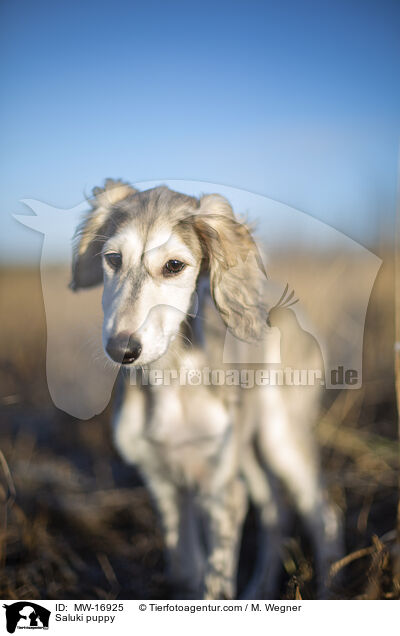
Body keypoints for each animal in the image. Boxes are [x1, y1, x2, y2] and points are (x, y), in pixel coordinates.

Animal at [70, 180, 342, 600]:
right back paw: (258, 590)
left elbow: (215, 584)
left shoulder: (220, 491)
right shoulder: (162, 481)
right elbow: (187, 570)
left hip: (281, 436)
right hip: (245, 451)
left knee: (324, 518)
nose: (121, 350)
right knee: (275, 512)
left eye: (174, 266)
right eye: (112, 259)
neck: (171, 381)